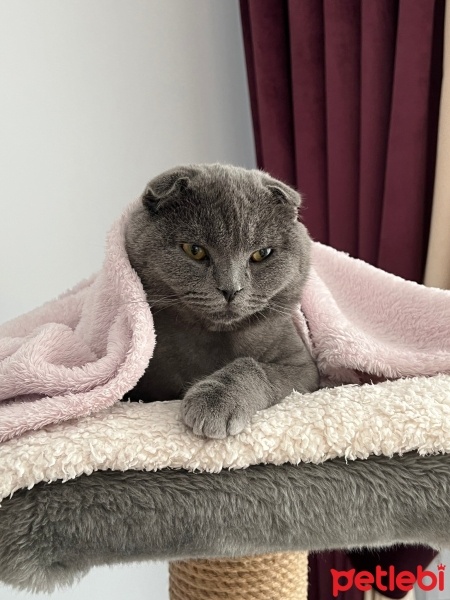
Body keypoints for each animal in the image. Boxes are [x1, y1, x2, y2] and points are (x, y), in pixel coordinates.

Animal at [124, 163, 320, 436]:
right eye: (195, 250)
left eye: (262, 253)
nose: (231, 289)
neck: (215, 338)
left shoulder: (304, 368)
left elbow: (255, 367)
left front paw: (216, 402)